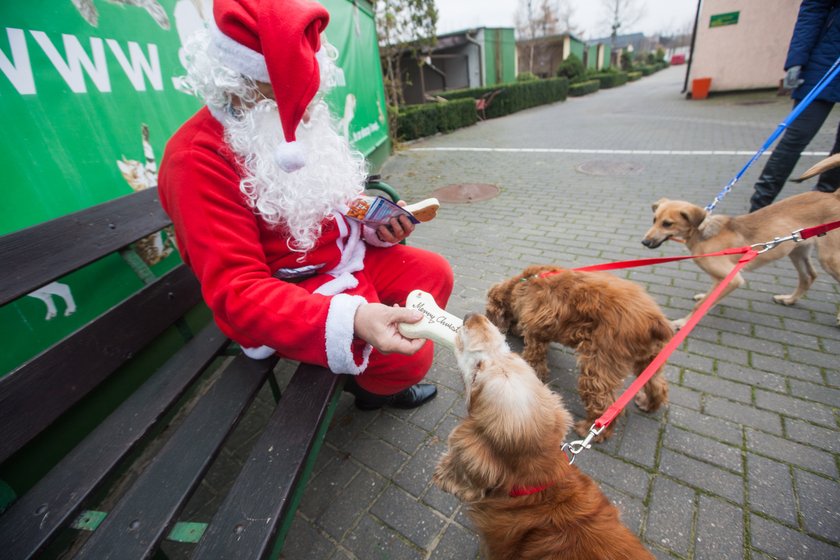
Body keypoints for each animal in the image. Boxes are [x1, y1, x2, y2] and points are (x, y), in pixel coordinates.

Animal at [482, 264, 672, 440]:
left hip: (599, 367)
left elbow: (535, 360)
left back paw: (591, 430)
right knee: (658, 385)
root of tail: (655, 320)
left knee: (604, 403)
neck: (521, 285)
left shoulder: (535, 334)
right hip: (649, 359)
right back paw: (648, 404)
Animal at [644, 188, 840, 328]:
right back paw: (789, 300)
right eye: (654, 220)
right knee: (809, 276)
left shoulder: (732, 278)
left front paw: (683, 323)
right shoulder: (722, 278)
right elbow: (710, 296)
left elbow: (702, 305)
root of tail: (833, 196)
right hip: (797, 250)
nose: (644, 242)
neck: (702, 233)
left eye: (667, 224)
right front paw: (705, 299)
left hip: (828, 258)